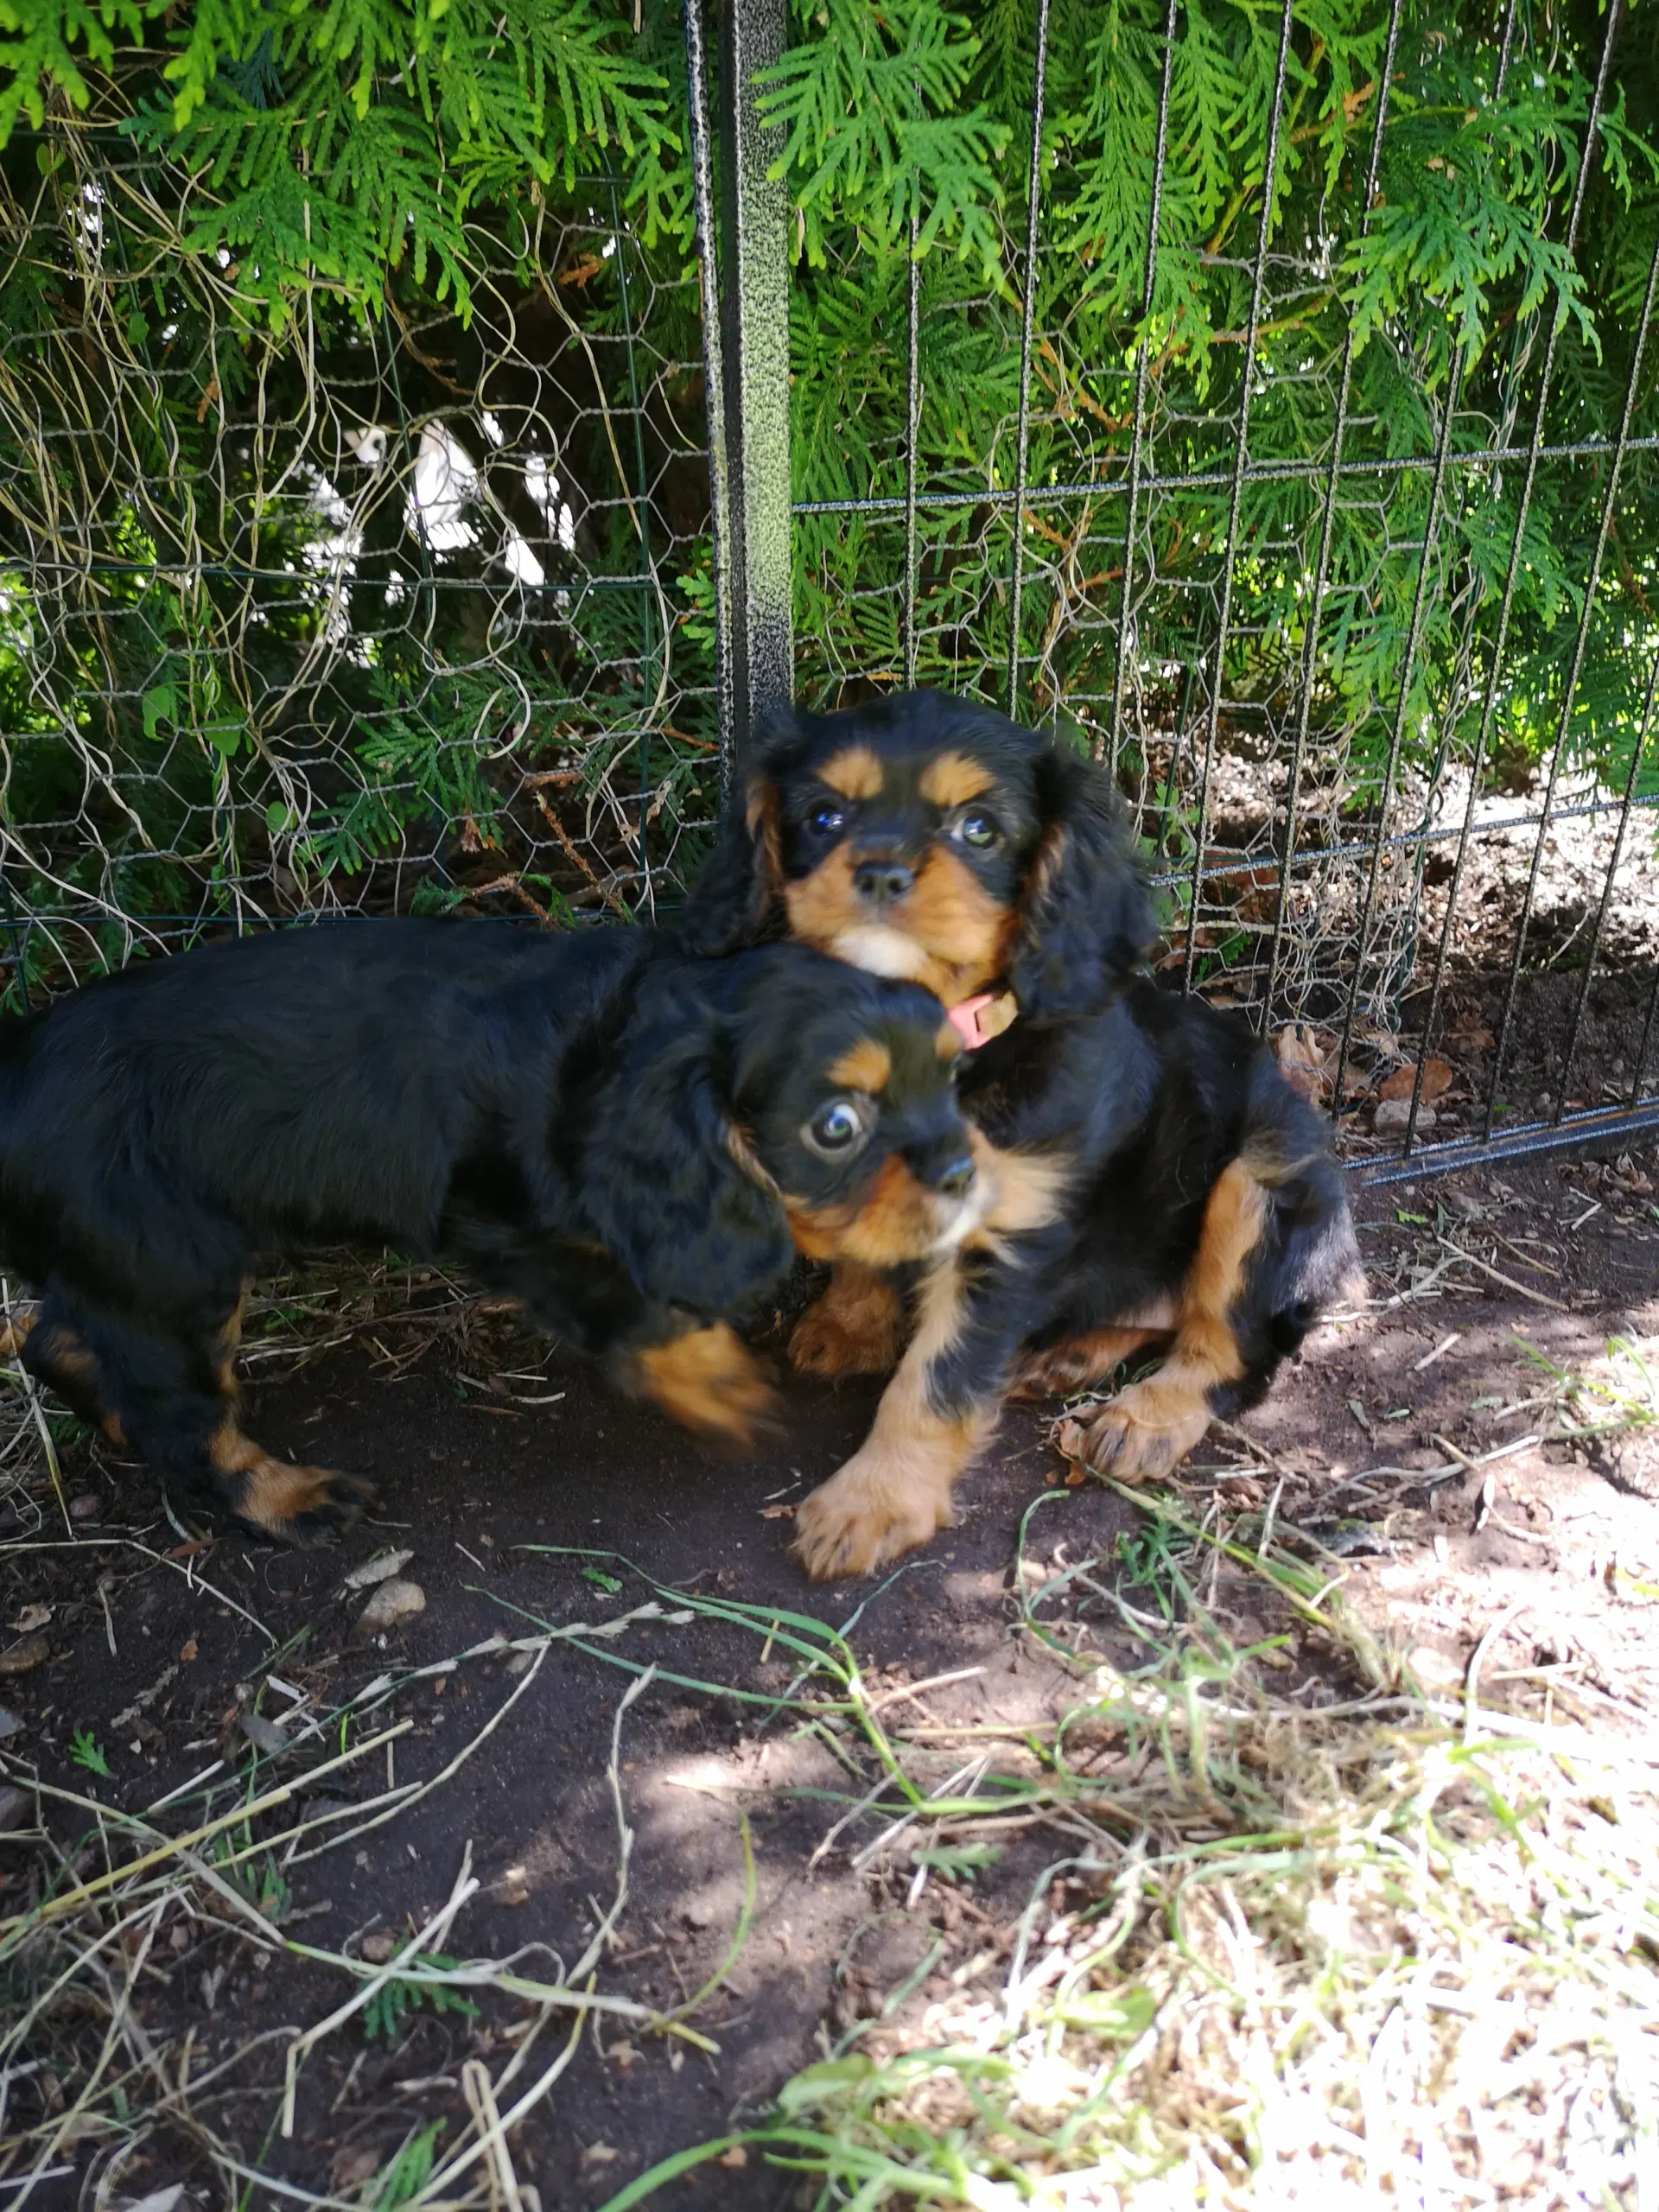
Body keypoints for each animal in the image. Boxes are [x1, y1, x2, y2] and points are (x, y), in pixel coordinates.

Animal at [0, 915, 986, 1539]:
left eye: (951, 1077)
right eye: (837, 1126)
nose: (968, 1175)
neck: (615, 1053)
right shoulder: (504, 1221)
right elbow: (633, 1309)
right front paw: (721, 1386)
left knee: (61, 1344)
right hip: (174, 1268)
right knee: (177, 1416)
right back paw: (283, 1497)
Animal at [677, 685, 1362, 1574]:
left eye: (979, 829)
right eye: (824, 816)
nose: (879, 871)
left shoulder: (1003, 1236)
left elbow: (935, 1382)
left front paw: (871, 1503)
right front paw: (850, 1323)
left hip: (1263, 1184)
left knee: (1228, 1349)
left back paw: (1145, 1418)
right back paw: (1071, 1355)